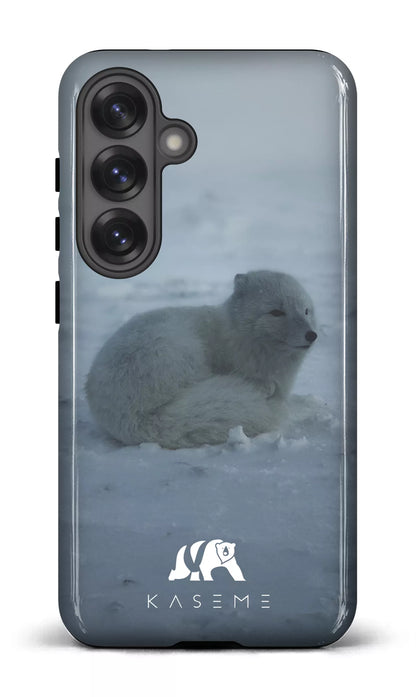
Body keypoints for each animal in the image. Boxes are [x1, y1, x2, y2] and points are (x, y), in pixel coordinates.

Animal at [86, 270, 317, 448]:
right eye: (276, 312)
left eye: (306, 310)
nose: (311, 335)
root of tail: (135, 418)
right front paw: (265, 386)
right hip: (178, 350)